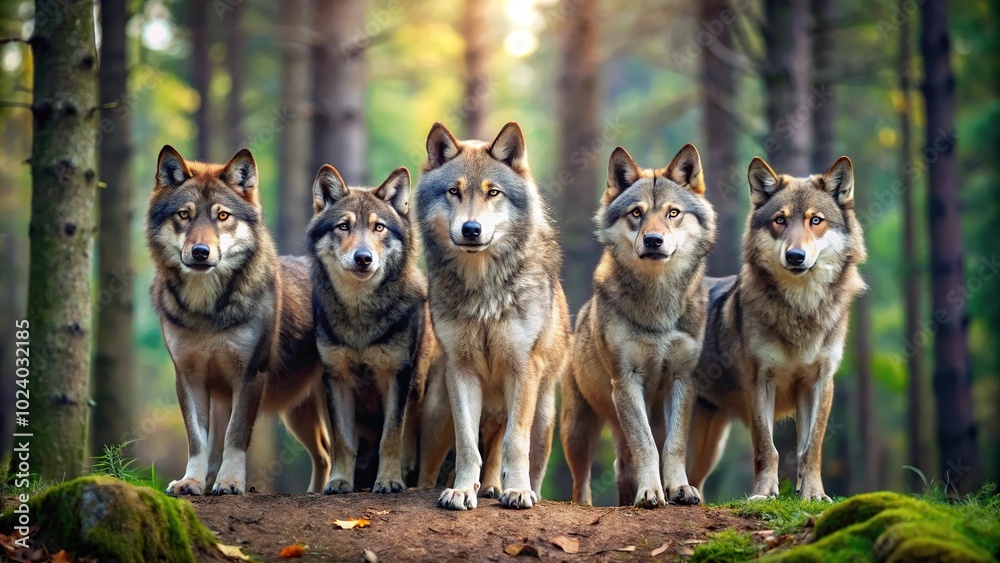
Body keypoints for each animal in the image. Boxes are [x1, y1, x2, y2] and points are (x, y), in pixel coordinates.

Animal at [147, 146, 330, 496]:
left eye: (222, 216)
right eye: (184, 215)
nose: (200, 252)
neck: (207, 311)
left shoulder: (249, 375)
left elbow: (235, 436)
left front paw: (230, 482)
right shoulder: (189, 377)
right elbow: (199, 441)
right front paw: (192, 482)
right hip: (298, 413)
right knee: (326, 453)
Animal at [308, 165, 437, 494]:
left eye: (379, 228)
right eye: (343, 226)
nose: (363, 258)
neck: (360, 317)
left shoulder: (397, 376)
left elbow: (391, 438)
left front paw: (389, 481)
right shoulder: (336, 378)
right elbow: (343, 443)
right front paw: (340, 481)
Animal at [414, 122, 571, 510]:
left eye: (493, 192)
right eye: (454, 192)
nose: (471, 229)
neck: (483, 287)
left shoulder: (522, 369)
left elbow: (515, 443)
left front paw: (517, 491)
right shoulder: (461, 371)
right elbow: (468, 445)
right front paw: (460, 491)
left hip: (543, 415)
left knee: (515, 449)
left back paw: (502, 489)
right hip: (438, 413)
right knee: (430, 467)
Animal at [560, 145, 716, 508]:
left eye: (673, 213)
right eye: (636, 213)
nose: (654, 240)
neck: (657, 304)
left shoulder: (683, 380)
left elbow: (673, 446)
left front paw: (680, 489)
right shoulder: (626, 381)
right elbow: (646, 447)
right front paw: (650, 493)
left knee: (624, 463)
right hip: (579, 430)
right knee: (583, 479)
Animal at [688, 156, 867, 501]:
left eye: (815, 220)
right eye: (780, 221)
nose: (795, 256)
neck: (800, 310)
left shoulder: (819, 383)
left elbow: (811, 447)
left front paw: (812, 493)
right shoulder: (759, 381)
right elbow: (766, 447)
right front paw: (762, 493)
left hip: (707, 446)